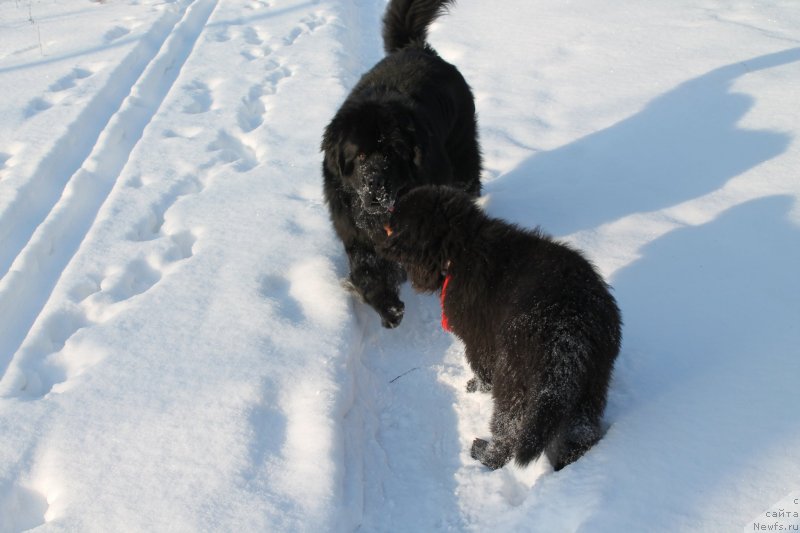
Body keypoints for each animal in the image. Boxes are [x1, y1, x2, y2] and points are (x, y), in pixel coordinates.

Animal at [320, 0, 482, 326]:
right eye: (360, 155)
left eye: (393, 154)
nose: (376, 184)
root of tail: (419, 47)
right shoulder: (352, 227)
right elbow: (366, 269)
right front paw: (387, 305)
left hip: (462, 151)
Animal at [382, 186, 624, 470]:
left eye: (397, 223)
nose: (383, 237)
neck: (460, 249)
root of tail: (569, 323)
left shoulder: (479, 339)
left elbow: (481, 366)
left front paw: (477, 387)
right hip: (593, 379)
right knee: (581, 430)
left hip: (514, 372)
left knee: (510, 426)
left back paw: (487, 455)